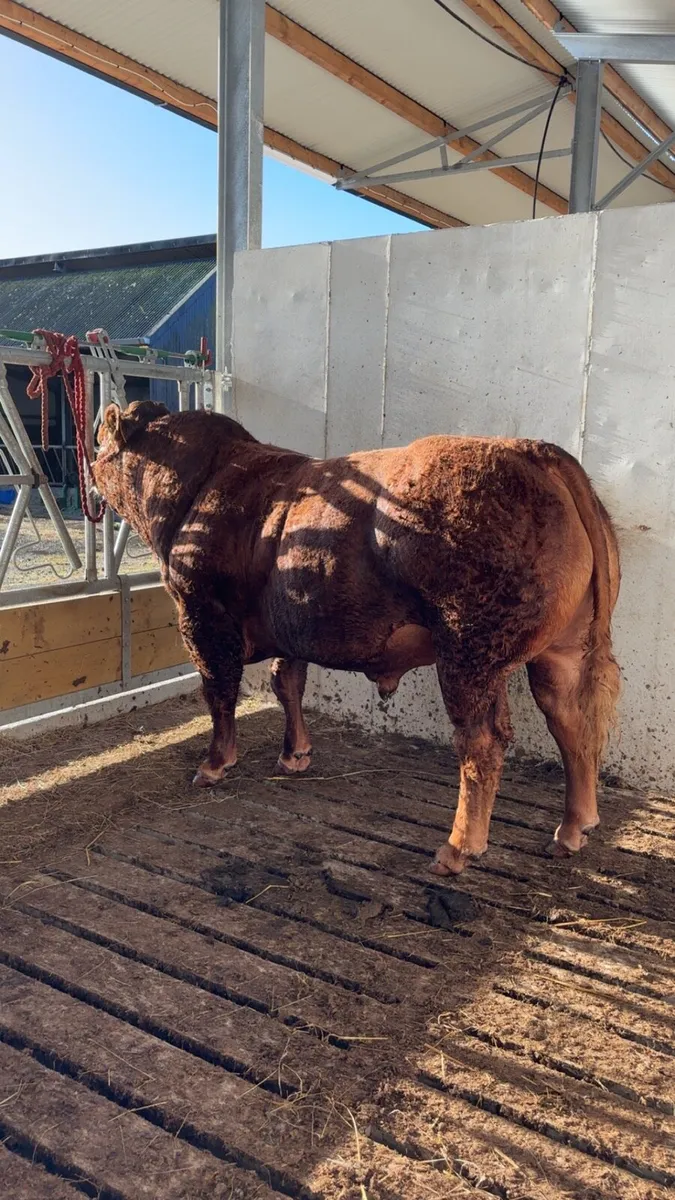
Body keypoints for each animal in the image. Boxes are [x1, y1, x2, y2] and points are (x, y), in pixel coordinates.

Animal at [94, 400, 621, 877]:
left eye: (99, 443)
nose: (91, 467)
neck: (202, 483)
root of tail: (531, 450)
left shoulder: (201, 616)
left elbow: (219, 693)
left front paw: (215, 764)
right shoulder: (291, 623)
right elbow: (288, 683)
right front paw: (294, 754)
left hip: (469, 655)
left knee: (483, 742)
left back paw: (457, 849)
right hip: (562, 652)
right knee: (571, 722)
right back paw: (572, 829)